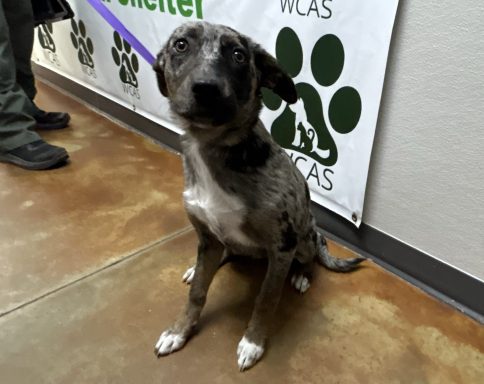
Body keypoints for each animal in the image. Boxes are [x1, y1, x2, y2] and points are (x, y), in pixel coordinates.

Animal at [152, 21, 364, 372]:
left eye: (238, 55)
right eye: (181, 45)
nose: (206, 88)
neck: (212, 146)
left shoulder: (282, 247)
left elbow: (266, 300)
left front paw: (253, 342)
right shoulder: (206, 236)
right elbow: (197, 293)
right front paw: (179, 331)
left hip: (304, 239)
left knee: (311, 254)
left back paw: (302, 275)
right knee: (222, 254)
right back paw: (199, 267)